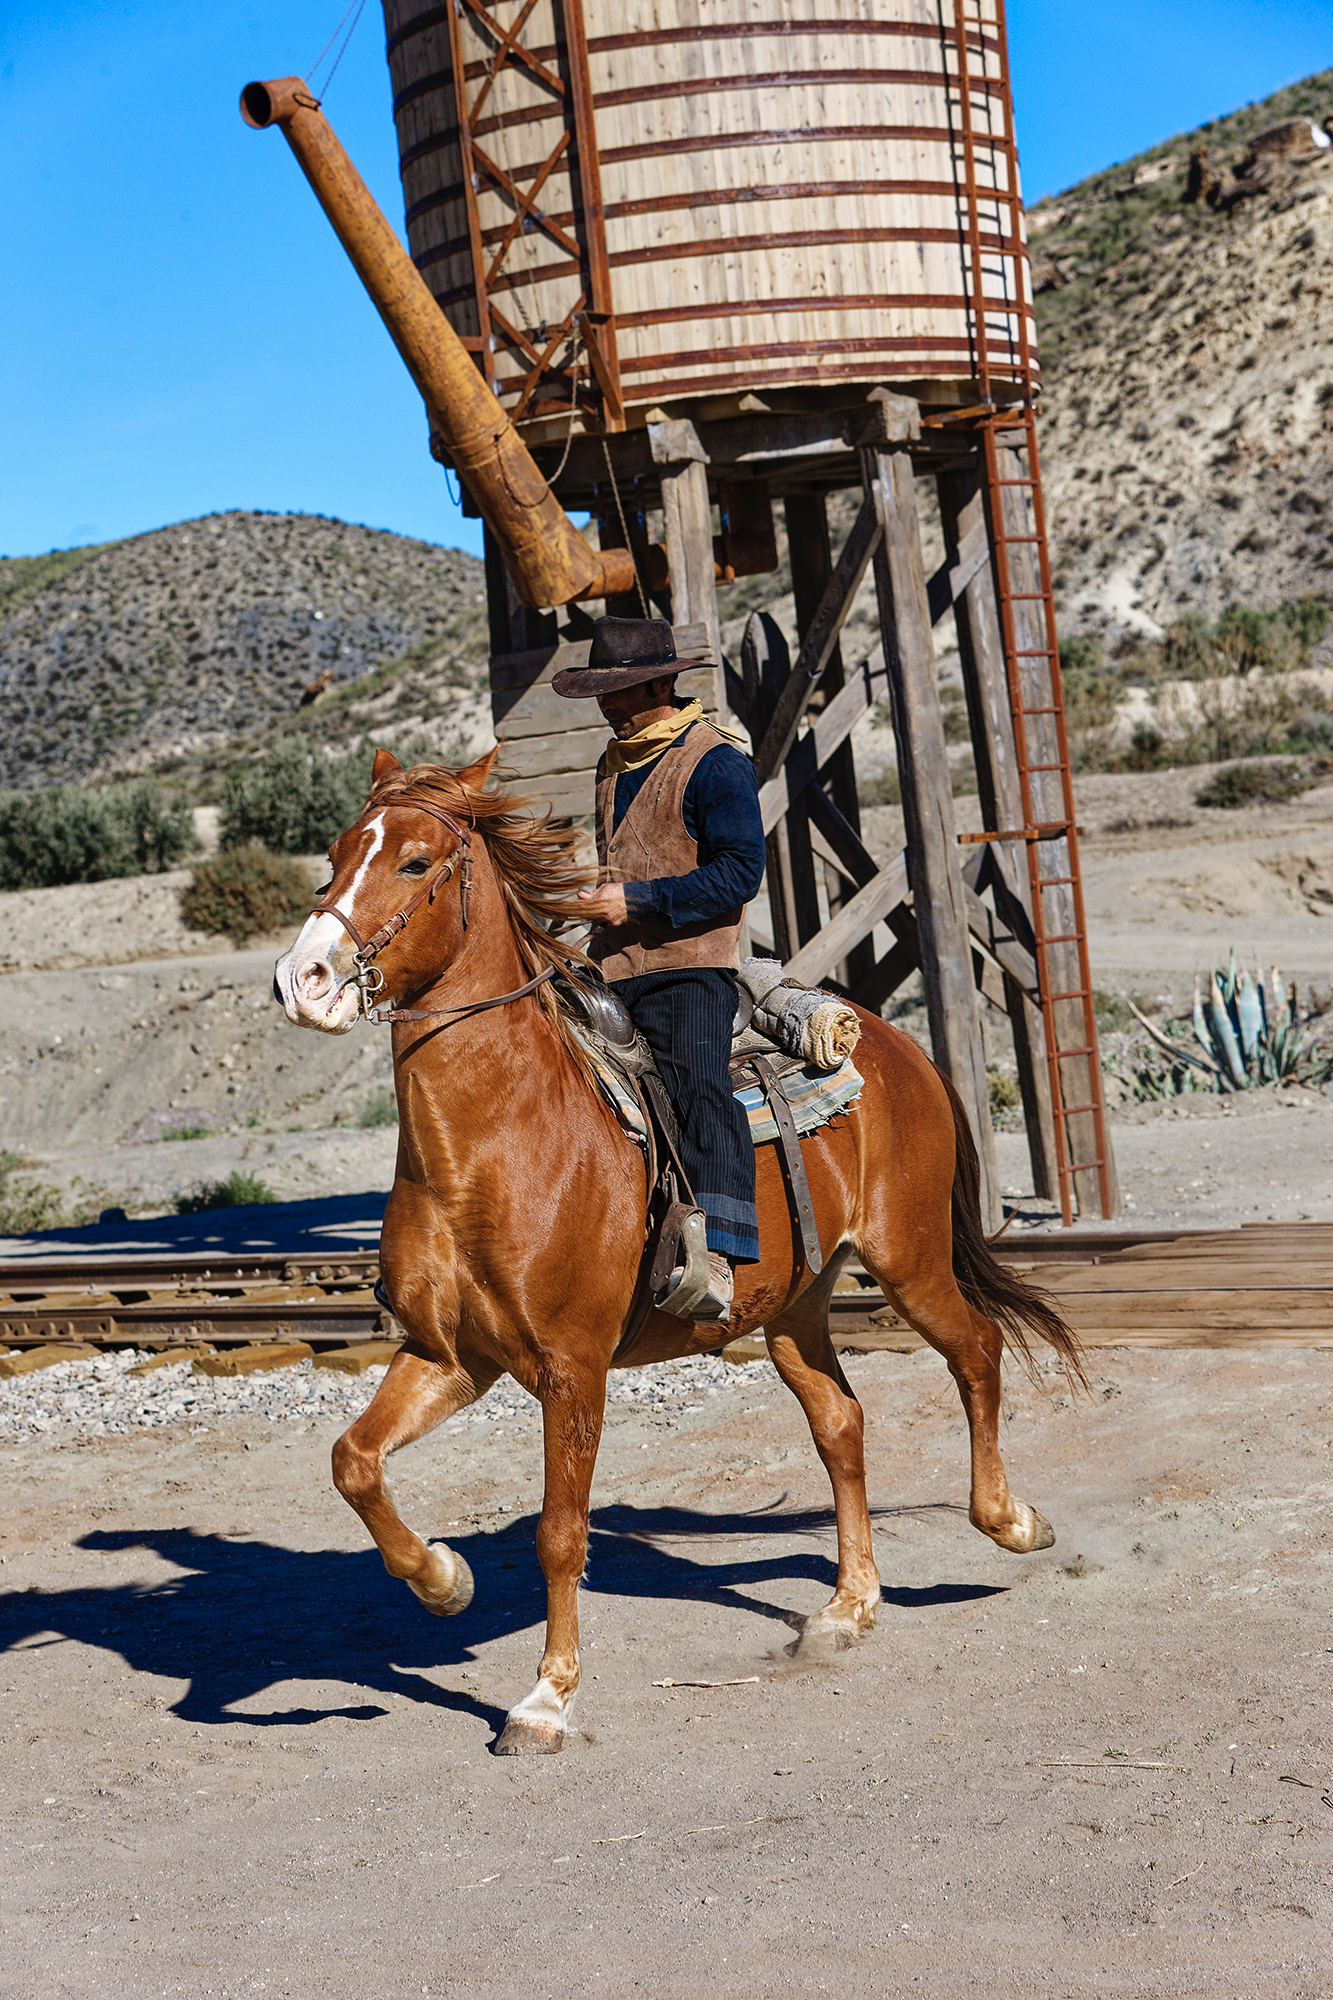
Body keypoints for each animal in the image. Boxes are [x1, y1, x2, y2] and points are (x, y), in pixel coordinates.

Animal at [274, 752, 1072, 1752]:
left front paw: (546, 1698)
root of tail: (895, 1043)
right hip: (794, 1308)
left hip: (911, 1260)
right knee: (840, 1423)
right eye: (337, 854)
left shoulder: (571, 1369)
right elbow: (352, 1461)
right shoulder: (447, 1357)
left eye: (415, 862)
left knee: (976, 1352)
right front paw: (443, 1580)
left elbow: (559, 1532)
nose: (302, 979)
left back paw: (1011, 1522)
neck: (495, 1145)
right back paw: (846, 1608)